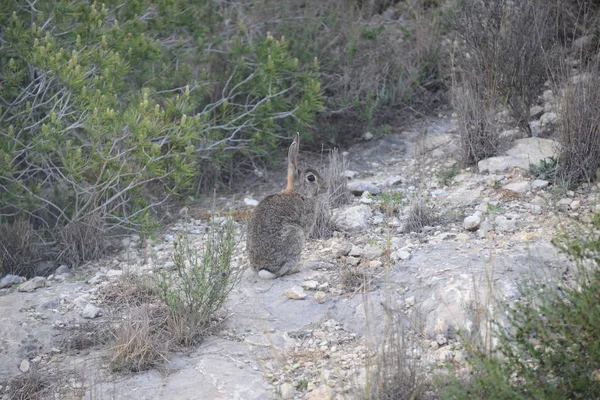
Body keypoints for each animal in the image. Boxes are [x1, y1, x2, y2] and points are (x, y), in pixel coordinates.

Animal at [246, 133, 328, 280]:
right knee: (285, 270)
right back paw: (298, 267)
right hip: (295, 234)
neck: (299, 192)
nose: (326, 187)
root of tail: (265, 270)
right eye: (311, 178)